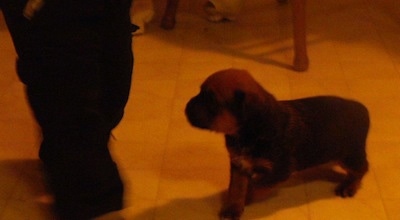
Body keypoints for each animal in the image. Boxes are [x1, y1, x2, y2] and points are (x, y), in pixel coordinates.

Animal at [186, 69, 370, 220]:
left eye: (211, 101)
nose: (185, 108)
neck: (248, 132)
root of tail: (362, 108)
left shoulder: (279, 170)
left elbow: (258, 185)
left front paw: (248, 196)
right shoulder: (239, 164)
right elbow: (238, 187)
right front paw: (233, 207)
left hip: (349, 155)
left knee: (362, 168)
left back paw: (349, 186)